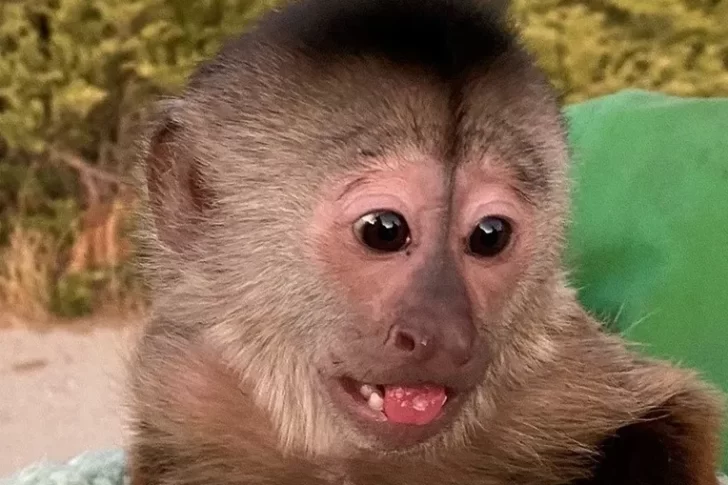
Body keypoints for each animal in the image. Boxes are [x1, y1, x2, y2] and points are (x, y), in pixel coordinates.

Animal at [126, 0, 725, 484]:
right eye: (384, 231)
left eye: (489, 236)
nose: (446, 335)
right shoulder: (186, 388)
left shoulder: (563, 369)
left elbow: (674, 410)